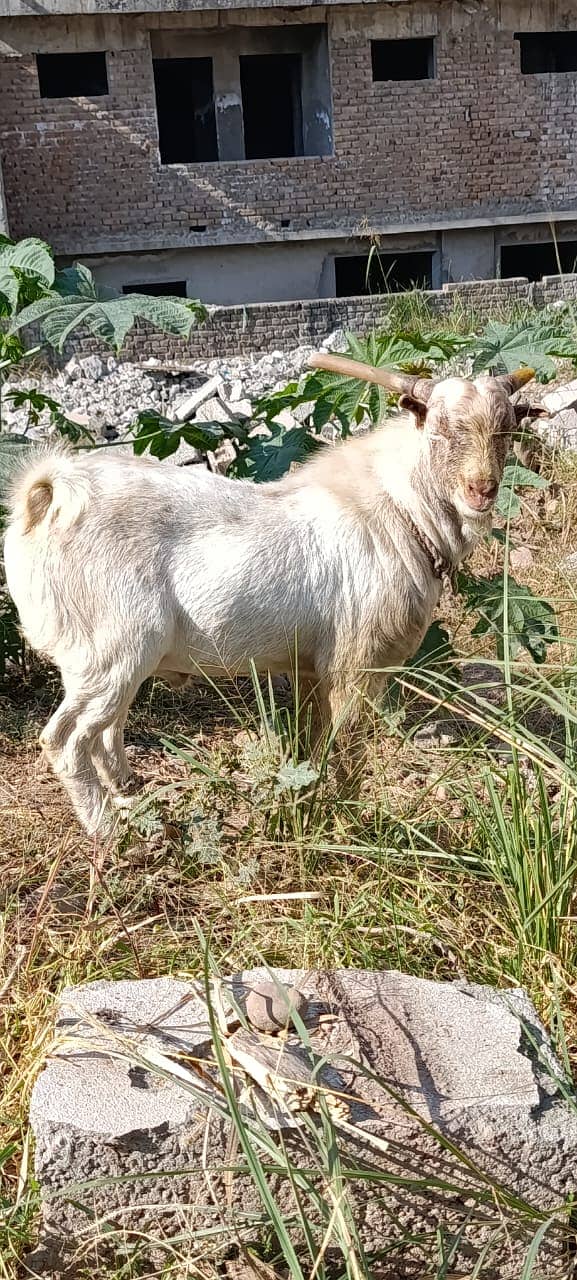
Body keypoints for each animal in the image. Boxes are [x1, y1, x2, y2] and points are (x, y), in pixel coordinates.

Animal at [4, 358, 537, 839]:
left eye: (507, 429)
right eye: (439, 428)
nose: (481, 489)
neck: (398, 511)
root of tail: (50, 498)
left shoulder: (310, 668)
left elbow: (312, 744)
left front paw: (310, 803)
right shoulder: (355, 662)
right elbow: (347, 748)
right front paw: (350, 821)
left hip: (110, 662)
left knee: (106, 731)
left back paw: (132, 794)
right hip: (112, 649)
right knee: (66, 739)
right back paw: (107, 831)